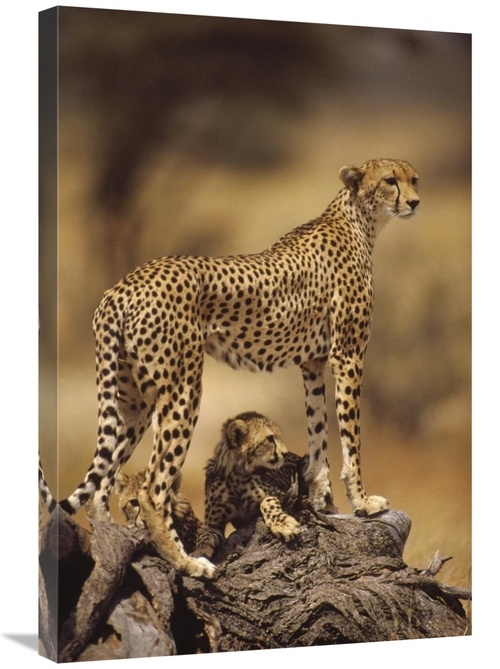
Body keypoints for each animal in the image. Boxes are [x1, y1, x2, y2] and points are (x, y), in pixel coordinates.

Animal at [193, 411, 306, 559]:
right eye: (270, 438)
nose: (285, 453)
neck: (237, 475)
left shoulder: (283, 493)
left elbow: (267, 501)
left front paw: (283, 524)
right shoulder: (214, 524)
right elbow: (204, 533)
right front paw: (199, 551)